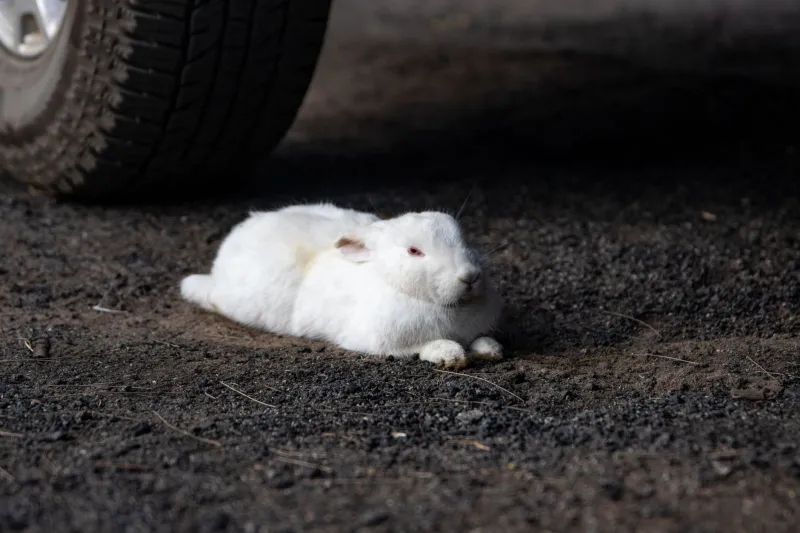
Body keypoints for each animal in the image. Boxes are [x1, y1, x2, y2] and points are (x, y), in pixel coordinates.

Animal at [181, 203, 503, 368]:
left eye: (462, 238)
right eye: (414, 251)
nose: (469, 276)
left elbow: (482, 340)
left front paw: (491, 349)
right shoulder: (383, 341)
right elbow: (423, 346)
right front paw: (450, 354)